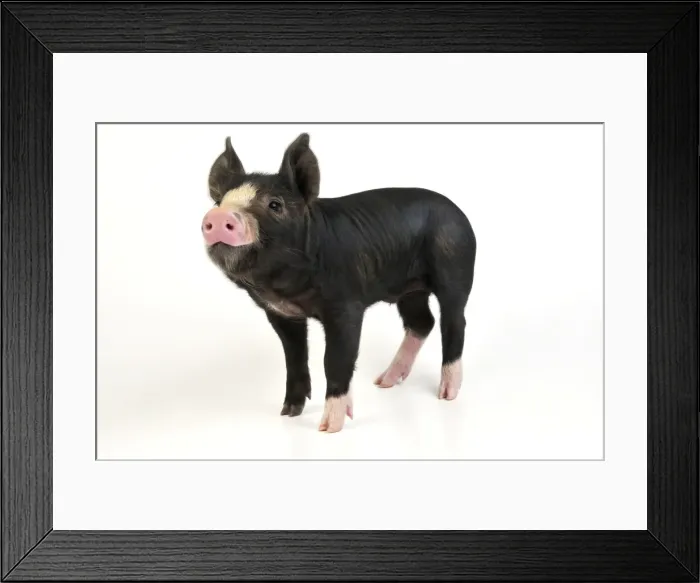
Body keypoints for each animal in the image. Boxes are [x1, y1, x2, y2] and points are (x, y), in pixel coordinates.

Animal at [202, 133, 476, 433]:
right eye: (219, 202)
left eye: (275, 205)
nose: (219, 216)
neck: (285, 285)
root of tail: (459, 212)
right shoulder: (280, 313)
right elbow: (294, 357)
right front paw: (288, 413)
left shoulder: (346, 307)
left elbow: (335, 360)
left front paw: (328, 427)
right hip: (410, 291)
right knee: (422, 322)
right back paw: (384, 382)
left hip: (456, 266)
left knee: (454, 322)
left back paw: (446, 394)